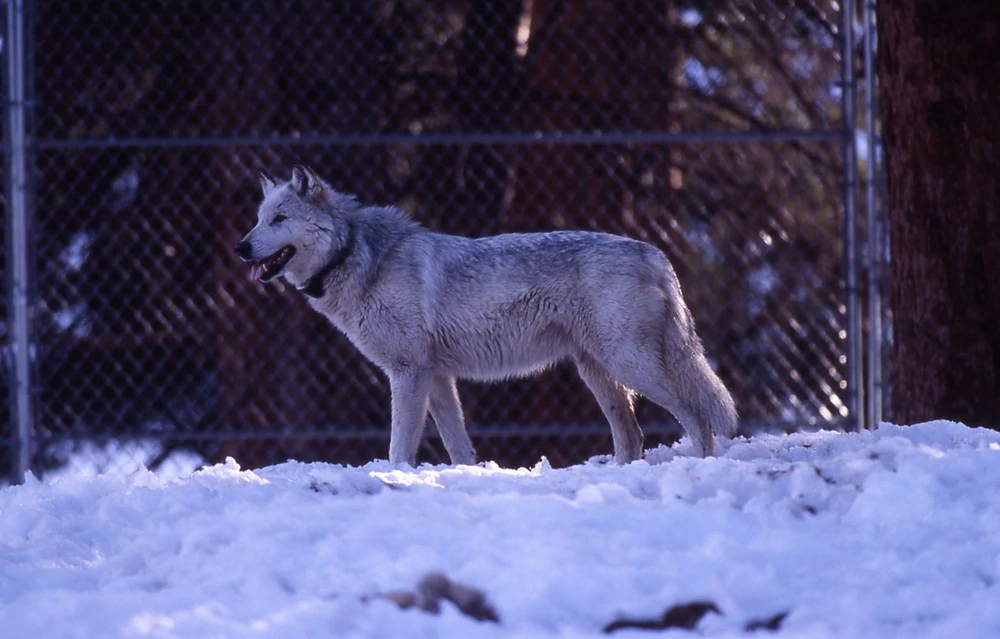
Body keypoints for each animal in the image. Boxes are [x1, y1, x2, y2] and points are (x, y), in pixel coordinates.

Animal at [234, 165, 736, 464]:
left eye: (279, 219)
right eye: (258, 218)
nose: (239, 247)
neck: (355, 254)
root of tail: (654, 253)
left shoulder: (409, 374)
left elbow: (399, 448)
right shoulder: (436, 377)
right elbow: (459, 447)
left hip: (630, 366)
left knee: (697, 415)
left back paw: (702, 465)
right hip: (600, 374)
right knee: (632, 436)